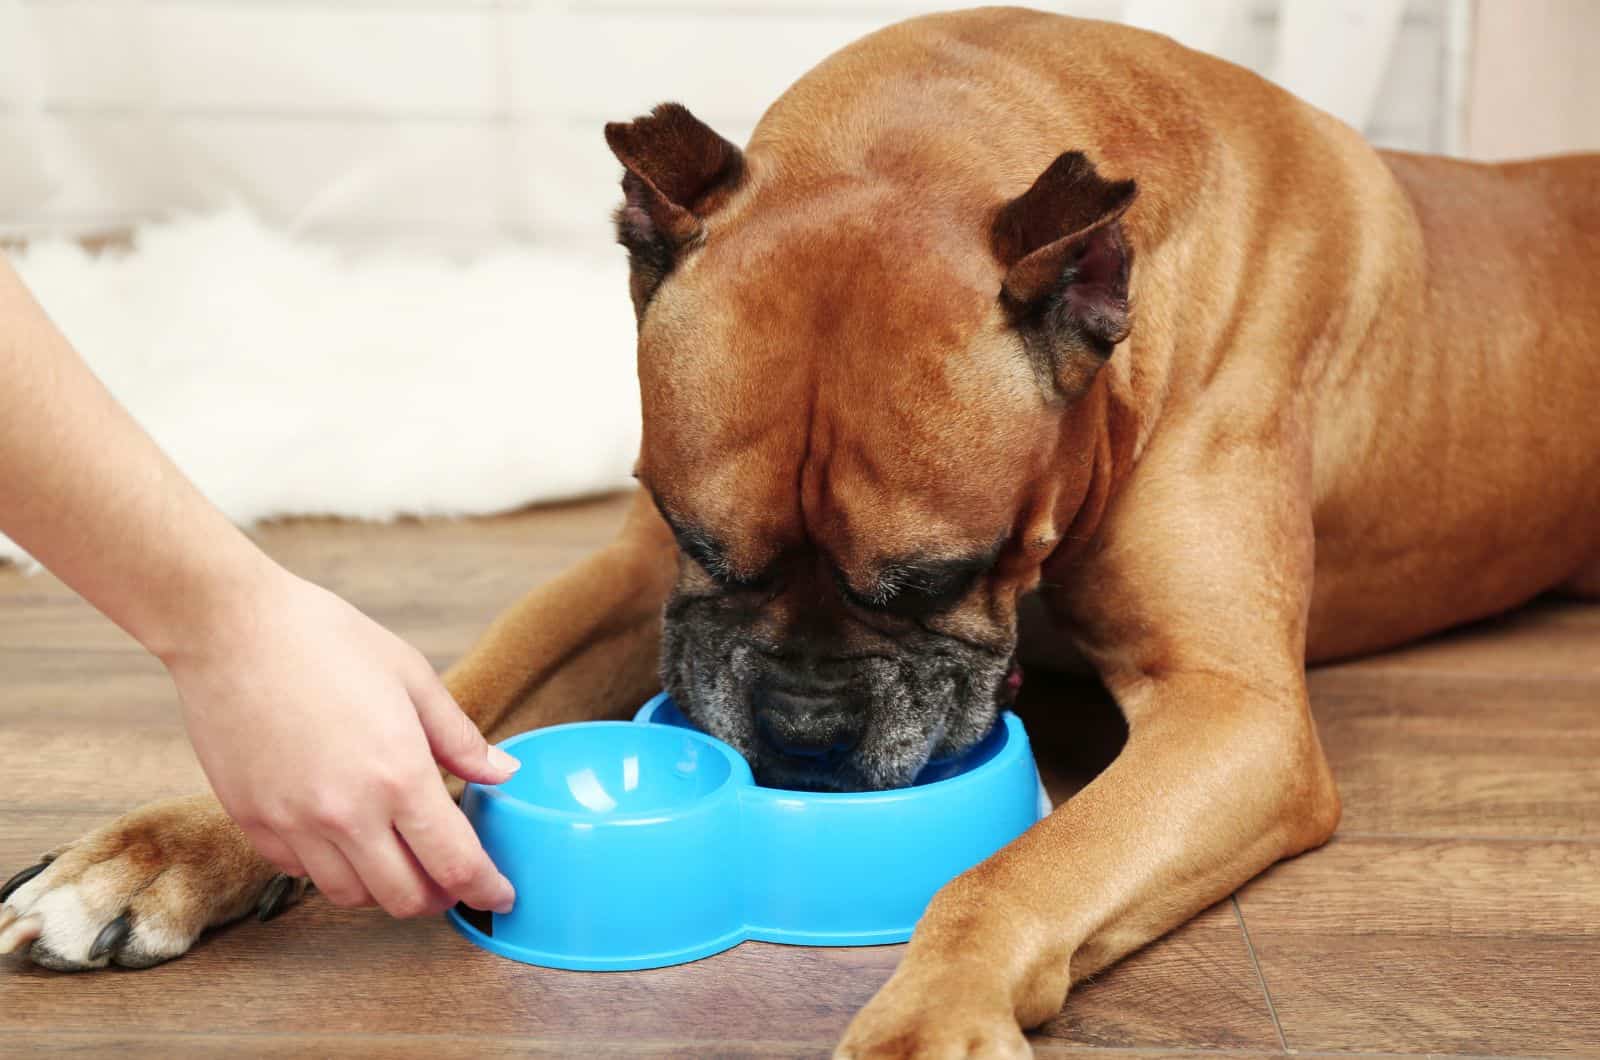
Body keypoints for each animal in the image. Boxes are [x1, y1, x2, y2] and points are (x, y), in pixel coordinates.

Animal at [3, 6, 1600, 1056]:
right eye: (704, 546)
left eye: (949, 571)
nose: (804, 728)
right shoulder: (626, 581)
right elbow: (445, 688)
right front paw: (175, 848)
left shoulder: (1237, 716)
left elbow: (1010, 872)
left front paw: (927, 1018)